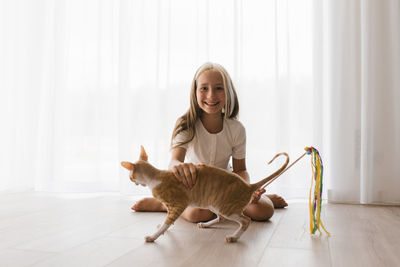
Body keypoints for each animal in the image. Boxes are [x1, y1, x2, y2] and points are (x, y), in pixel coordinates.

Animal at [120, 148, 290, 244]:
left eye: (130, 176)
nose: (131, 180)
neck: (156, 176)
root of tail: (248, 186)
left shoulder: (178, 205)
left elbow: (167, 222)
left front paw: (153, 236)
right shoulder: (172, 207)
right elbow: (167, 222)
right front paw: (162, 228)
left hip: (225, 207)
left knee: (246, 220)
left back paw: (234, 238)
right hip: (213, 204)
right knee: (221, 218)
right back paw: (206, 224)